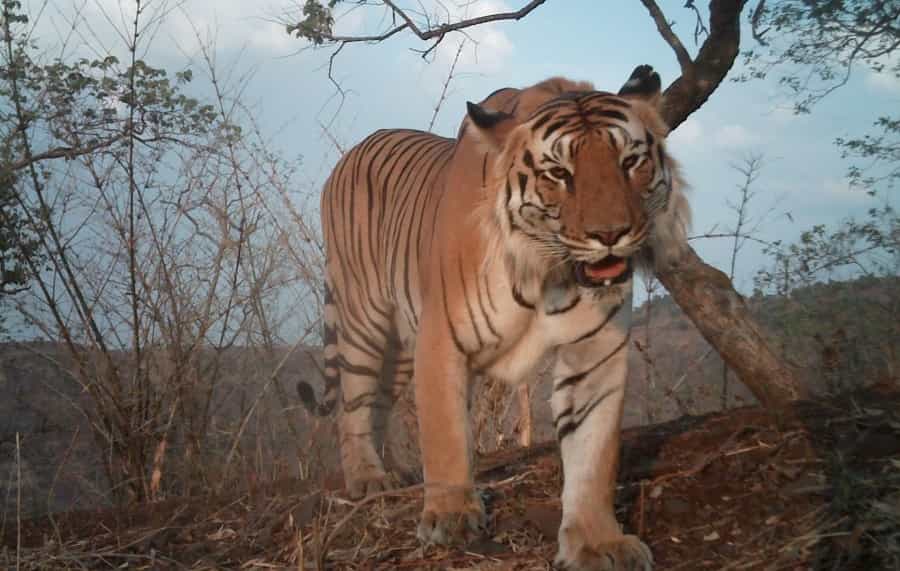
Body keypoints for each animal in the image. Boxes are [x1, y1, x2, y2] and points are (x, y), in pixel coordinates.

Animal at [298, 65, 690, 570]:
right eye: (559, 173)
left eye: (630, 162)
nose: (610, 234)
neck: (549, 268)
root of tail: (353, 151)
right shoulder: (441, 338)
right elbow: (445, 432)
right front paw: (450, 517)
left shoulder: (595, 348)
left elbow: (593, 451)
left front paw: (597, 541)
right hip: (365, 318)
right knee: (353, 402)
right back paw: (368, 478)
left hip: (401, 347)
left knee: (378, 401)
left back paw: (395, 472)